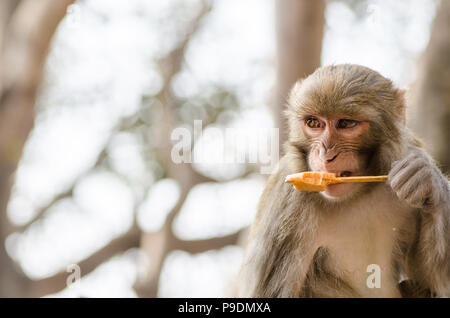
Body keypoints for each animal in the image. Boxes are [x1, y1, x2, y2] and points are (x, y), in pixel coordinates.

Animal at [237, 63, 448, 296]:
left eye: (346, 123)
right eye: (313, 122)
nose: (326, 155)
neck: (357, 194)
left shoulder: (406, 152)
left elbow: (434, 280)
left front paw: (428, 181)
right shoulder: (287, 200)